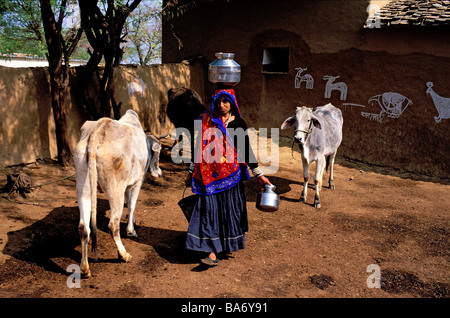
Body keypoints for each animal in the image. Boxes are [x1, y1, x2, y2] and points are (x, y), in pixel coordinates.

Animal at [74, 110, 163, 278]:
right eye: (159, 152)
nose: (159, 172)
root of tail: (99, 129)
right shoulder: (138, 181)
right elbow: (132, 205)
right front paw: (131, 230)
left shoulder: (127, 185)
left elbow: (129, 203)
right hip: (115, 190)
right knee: (113, 225)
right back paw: (123, 255)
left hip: (83, 187)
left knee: (83, 228)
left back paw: (85, 269)